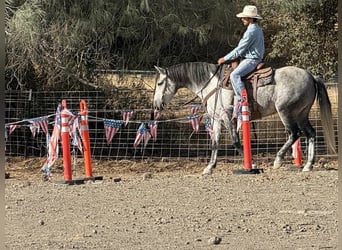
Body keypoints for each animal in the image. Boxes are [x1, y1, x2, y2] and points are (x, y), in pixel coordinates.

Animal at [153, 62, 336, 176]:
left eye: (160, 83)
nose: (156, 104)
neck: (213, 85)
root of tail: (311, 75)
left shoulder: (228, 117)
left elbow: (235, 142)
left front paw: (252, 165)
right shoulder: (216, 119)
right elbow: (215, 143)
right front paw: (209, 168)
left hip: (286, 111)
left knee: (294, 133)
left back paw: (278, 160)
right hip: (301, 113)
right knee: (310, 134)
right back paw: (308, 165)